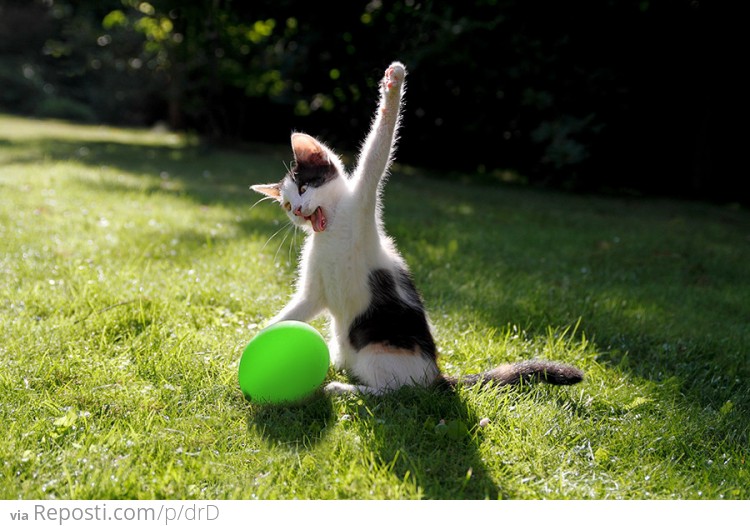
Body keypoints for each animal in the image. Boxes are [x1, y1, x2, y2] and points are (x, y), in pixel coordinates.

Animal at [254, 63, 588, 396]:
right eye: (287, 205)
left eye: (304, 187)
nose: (298, 210)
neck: (332, 229)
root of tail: (434, 374)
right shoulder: (313, 293)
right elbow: (290, 313)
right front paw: (252, 345)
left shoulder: (363, 201)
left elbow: (378, 149)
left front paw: (393, 85)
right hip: (344, 345)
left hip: (379, 352)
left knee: (393, 392)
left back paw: (344, 389)